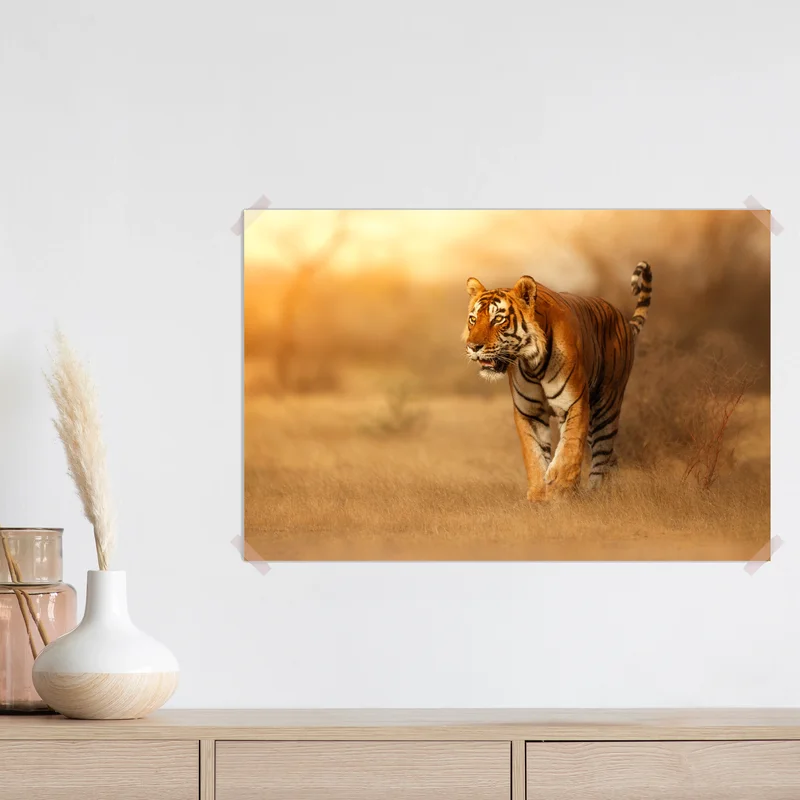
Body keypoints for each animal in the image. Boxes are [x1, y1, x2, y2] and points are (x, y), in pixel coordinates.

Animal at [464, 262, 653, 501]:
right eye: (473, 319)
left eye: (498, 319)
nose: (473, 346)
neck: (532, 363)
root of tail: (623, 320)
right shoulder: (529, 412)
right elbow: (534, 455)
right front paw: (538, 495)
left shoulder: (574, 403)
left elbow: (569, 449)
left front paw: (560, 491)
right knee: (611, 456)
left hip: (606, 406)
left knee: (602, 453)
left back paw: (596, 493)